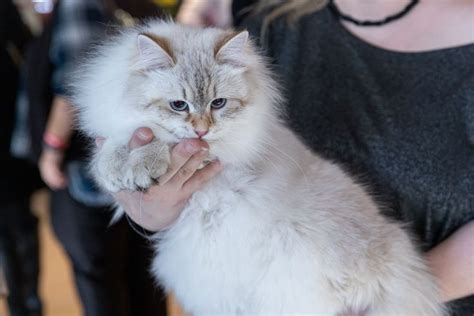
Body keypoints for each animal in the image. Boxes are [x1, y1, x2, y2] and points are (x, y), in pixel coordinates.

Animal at [73, 21, 444, 314]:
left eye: (218, 103)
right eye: (179, 105)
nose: (201, 130)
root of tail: (394, 263)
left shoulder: (216, 154)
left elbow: (165, 143)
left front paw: (143, 165)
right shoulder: (118, 125)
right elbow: (119, 144)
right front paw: (116, 170)